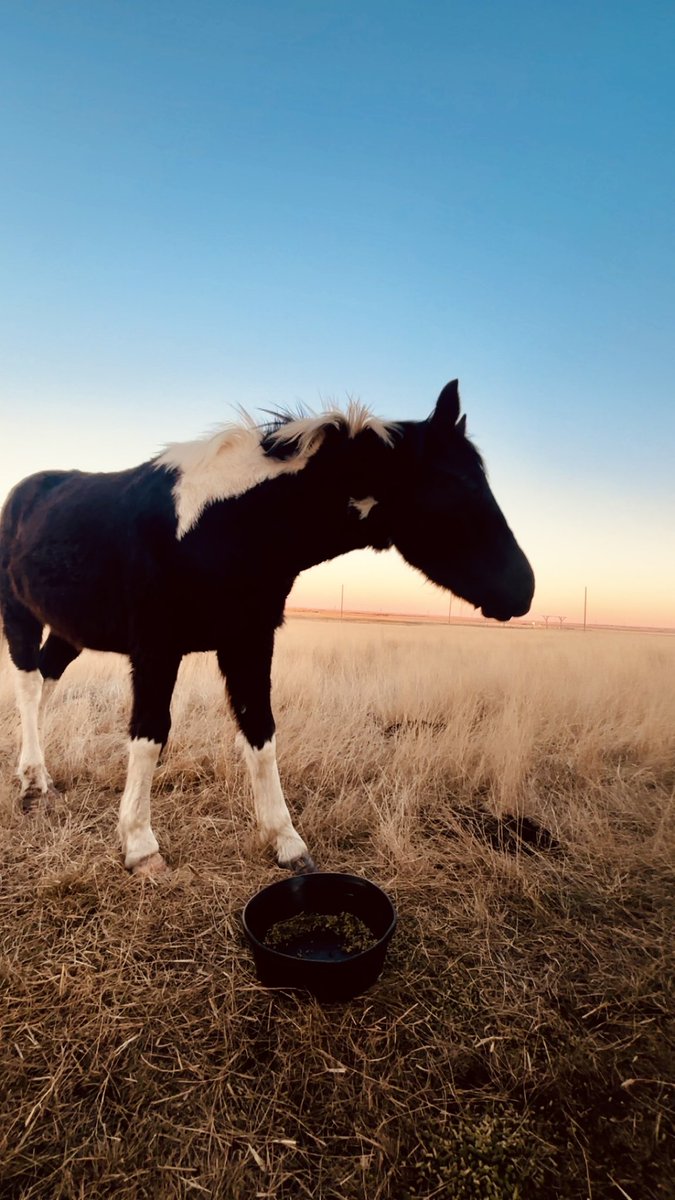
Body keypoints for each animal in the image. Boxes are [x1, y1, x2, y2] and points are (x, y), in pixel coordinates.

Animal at [0, 380, 534, 877]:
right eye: (459, 485)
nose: (524, 589)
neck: (222, 526)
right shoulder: (156, 650)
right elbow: (149, 735)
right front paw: (140, 844)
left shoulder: (249, 641)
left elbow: (261, 734)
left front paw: (285, 840)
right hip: (20, 616)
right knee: (28, 684)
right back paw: (31, 782)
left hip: (68, 631)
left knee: (46, 681)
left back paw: (38, 775)